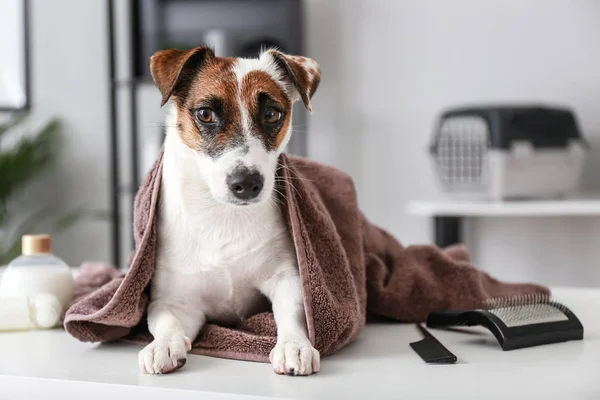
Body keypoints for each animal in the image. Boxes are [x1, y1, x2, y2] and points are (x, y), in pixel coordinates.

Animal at [138, 45, 322, 376]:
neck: (222, 215)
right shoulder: (175, 300)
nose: (247, 183)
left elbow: (293, 313)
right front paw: (162, 346)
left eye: (271, 114)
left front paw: (294, 346)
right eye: (205, 114)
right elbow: (166, 321)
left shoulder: (288, 277)